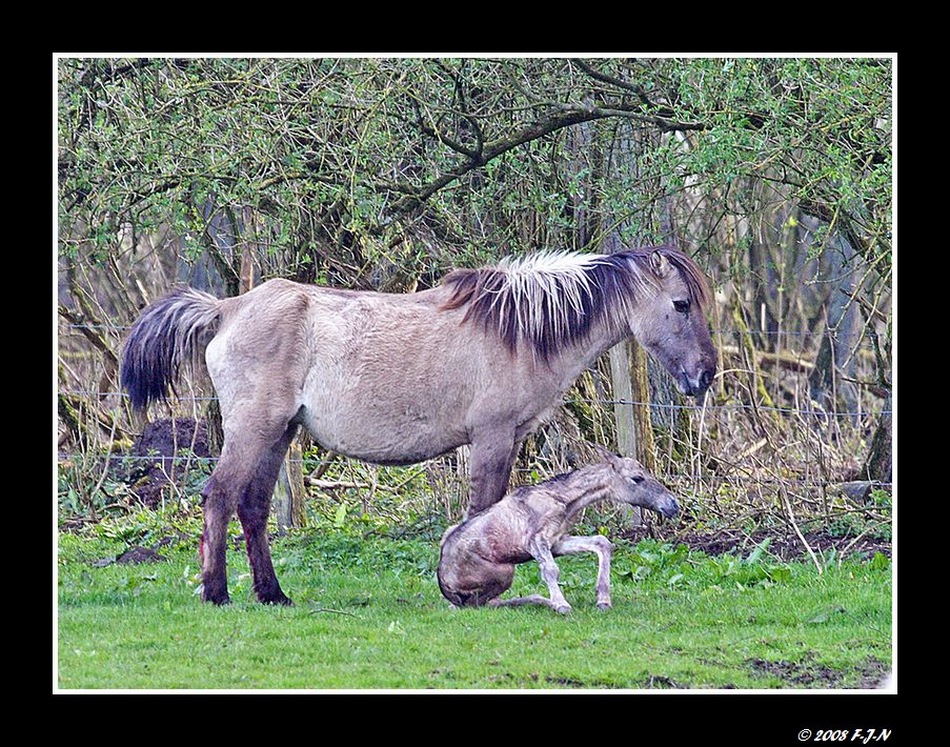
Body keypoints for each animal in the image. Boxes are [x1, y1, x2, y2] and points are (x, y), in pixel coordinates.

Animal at [442, 450, 680, 612]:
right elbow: (550, 570)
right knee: (482, 604)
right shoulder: (534, 540)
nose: (673, 504)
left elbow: (602, 542)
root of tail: (448, 591)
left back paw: (539, 599)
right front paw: (561, 604)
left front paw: (603, 599)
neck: (567, 502)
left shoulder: (557, 541)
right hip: (505, 571)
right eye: (637, 478)